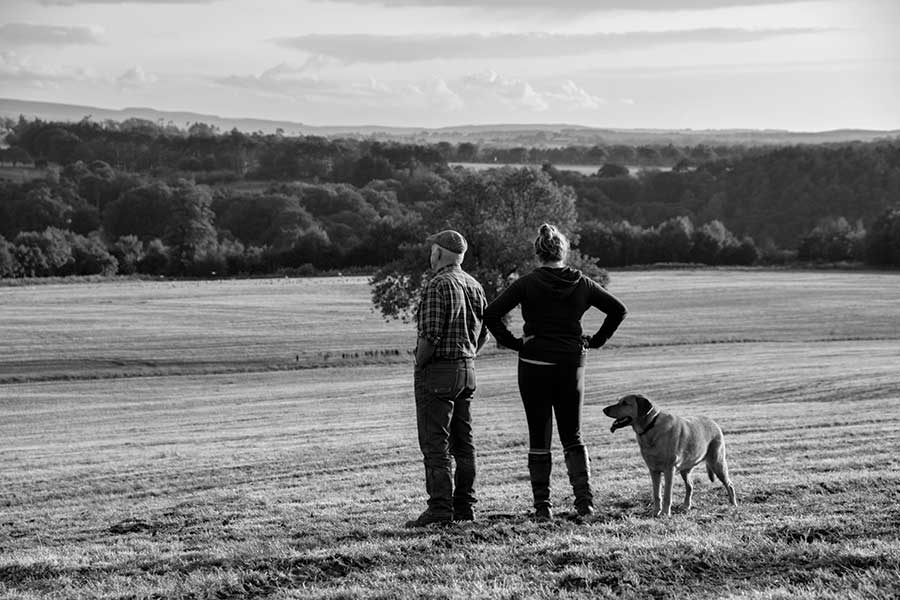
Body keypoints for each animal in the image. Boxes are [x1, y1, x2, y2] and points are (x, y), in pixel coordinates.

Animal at [604, 394, 740, 516]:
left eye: (625, 403)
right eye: (619, 401)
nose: (604, 410)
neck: (650, 427)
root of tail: (714, 423)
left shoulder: (669, 469)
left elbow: (667, 495)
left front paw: (665, 513)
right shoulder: (653, 470)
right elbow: (656, 494)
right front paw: (656, 512)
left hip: (717, 463)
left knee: (730, 484)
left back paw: (733, 504)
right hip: (685, 469)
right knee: (690, 486)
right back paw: (686, 506)